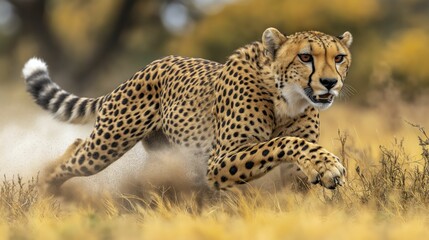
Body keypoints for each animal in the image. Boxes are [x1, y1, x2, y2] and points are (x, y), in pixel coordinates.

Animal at [21, 27, 352, 193]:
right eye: (305, 57)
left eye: (339, 58)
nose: (329, 83)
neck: (286, 98)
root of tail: (146, 67)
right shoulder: (219, 161)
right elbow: (282, 142)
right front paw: (326, 165)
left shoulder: (291, 174)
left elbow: (294, 156)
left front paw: (319, 168)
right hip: (108, 144)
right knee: (71, 159)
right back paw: (46, 196)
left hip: (164, 155)